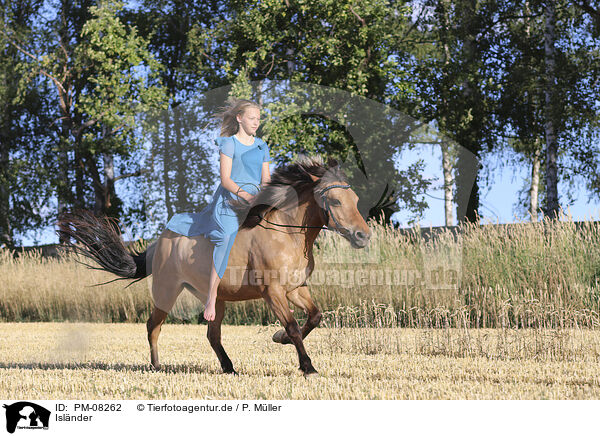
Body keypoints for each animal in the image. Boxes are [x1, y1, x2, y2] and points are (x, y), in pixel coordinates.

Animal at [58, 155, 372, 376]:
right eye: (334, 200)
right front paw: (308, 367)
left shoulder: (296, 288)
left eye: (355, 199)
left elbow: (315, 316)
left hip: (216, 299)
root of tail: (159, 242)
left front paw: (278, 337)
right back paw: (157, 365)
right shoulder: (272, 292)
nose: (363, 236)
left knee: (212, 334)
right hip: (167, 291)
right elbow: (295, 326)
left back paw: (228, 367)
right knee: (153, 325)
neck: (287, 234)